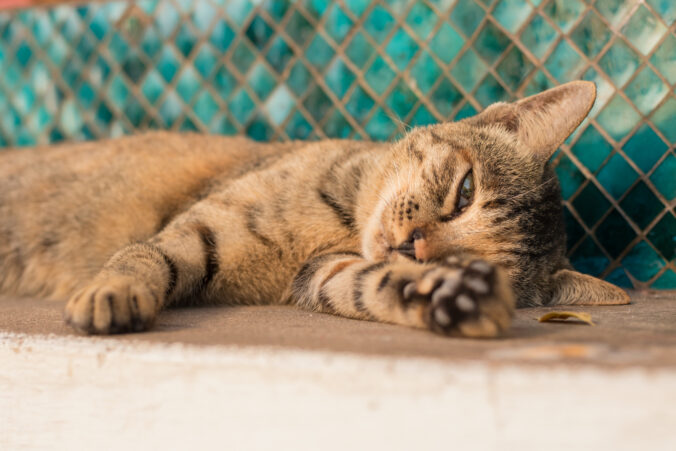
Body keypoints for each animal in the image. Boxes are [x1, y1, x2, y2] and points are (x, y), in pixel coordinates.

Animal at [0, 81, 629, 337]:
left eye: (470, 264)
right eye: (466, 191)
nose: (413, 246)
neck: (342, 223)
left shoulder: (323, 274)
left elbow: (373, 285)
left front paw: (449, 299)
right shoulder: (199, 226)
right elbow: (143, 258)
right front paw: (114, 292)